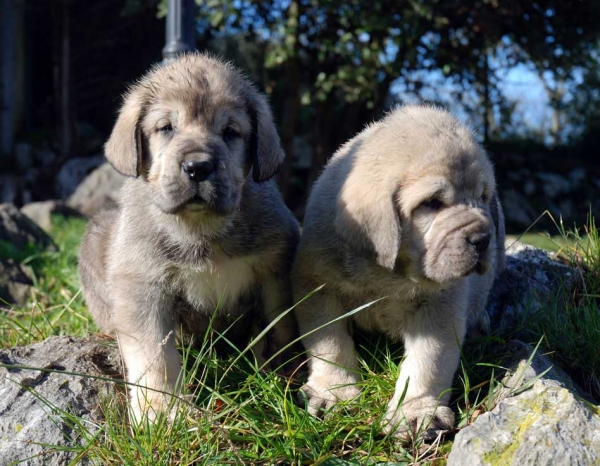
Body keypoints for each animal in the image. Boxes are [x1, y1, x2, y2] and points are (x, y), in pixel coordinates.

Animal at [79, 53, 300, 422]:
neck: (200, 229)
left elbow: (279, 331)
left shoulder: (274, 272)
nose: (198, 167)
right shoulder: (142, 287)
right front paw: (159, 412)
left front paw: (283, 383)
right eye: (166, 128)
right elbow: (155, 357)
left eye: (230, 132)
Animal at [292, 105, 504, 440]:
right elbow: (330, 344)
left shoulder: (440, 306)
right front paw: (334, 393)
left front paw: (417, 412)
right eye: (431, 203)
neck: (389, 275)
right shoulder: (317, 288)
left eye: (483, 197)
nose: (484, 239)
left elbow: (428, 361)